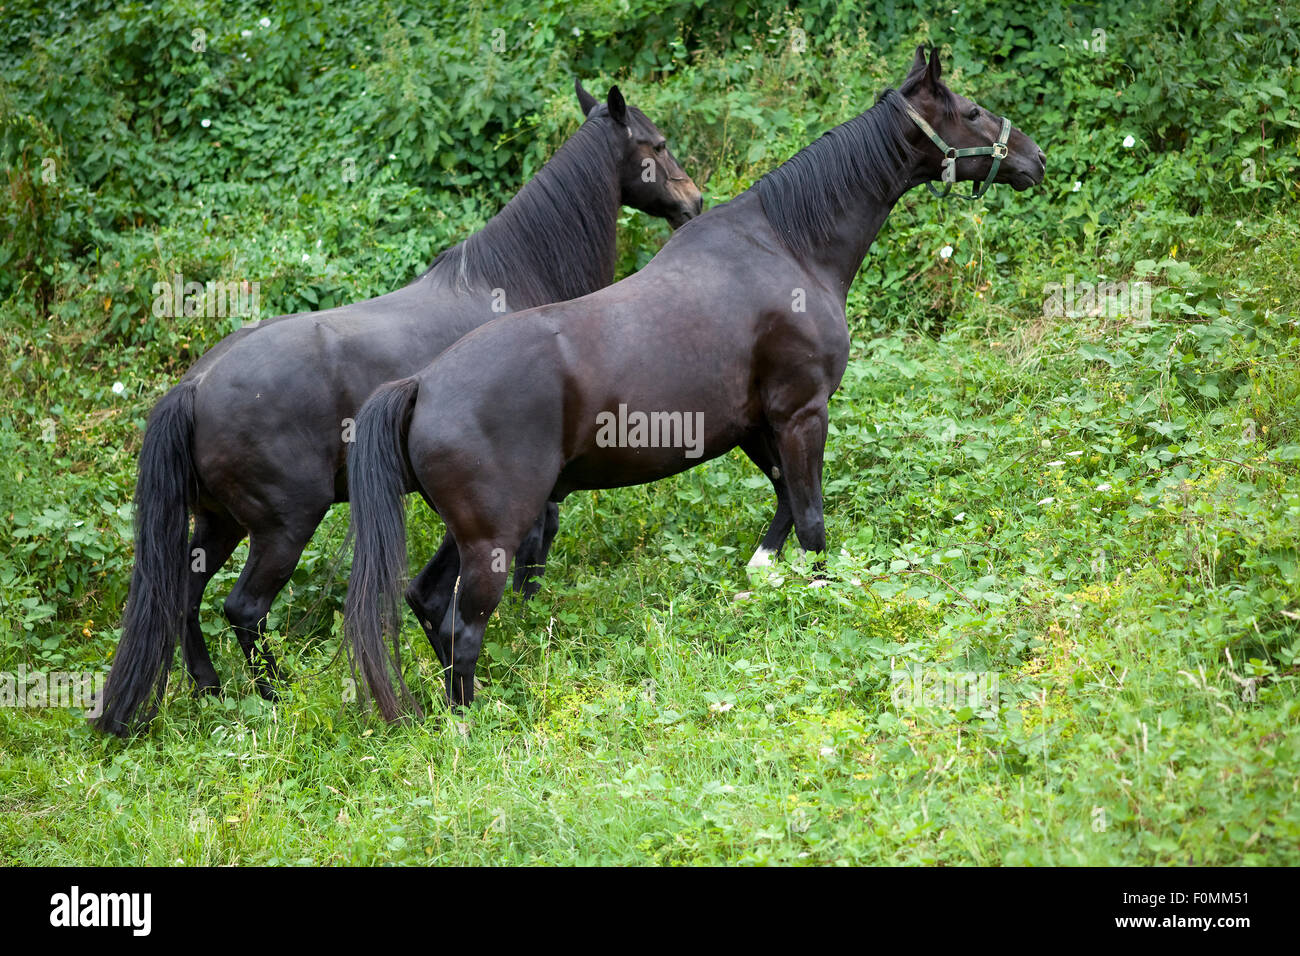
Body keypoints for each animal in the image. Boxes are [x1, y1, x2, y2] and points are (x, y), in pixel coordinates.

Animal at [94, 83, 702, 738]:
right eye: (657, 144)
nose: (693, 200)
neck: (511, 279)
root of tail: (197, 385)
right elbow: (535, 544)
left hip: (219, 523)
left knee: (182, 598)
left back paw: (211, 688)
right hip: (283, 526)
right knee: (243, 608)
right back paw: (276, 694)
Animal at [343, 44, 1045, 717]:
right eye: (972, 110)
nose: (1034, 159)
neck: (786, 245)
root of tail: (422, 386)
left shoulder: (755, 424)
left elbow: (786, 499)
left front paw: (761, 573)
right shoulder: (801, 413)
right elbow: (812, 515)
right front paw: (819, 596)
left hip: (470, 534)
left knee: (427, 600)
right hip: (495, 538)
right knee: (462, 626)